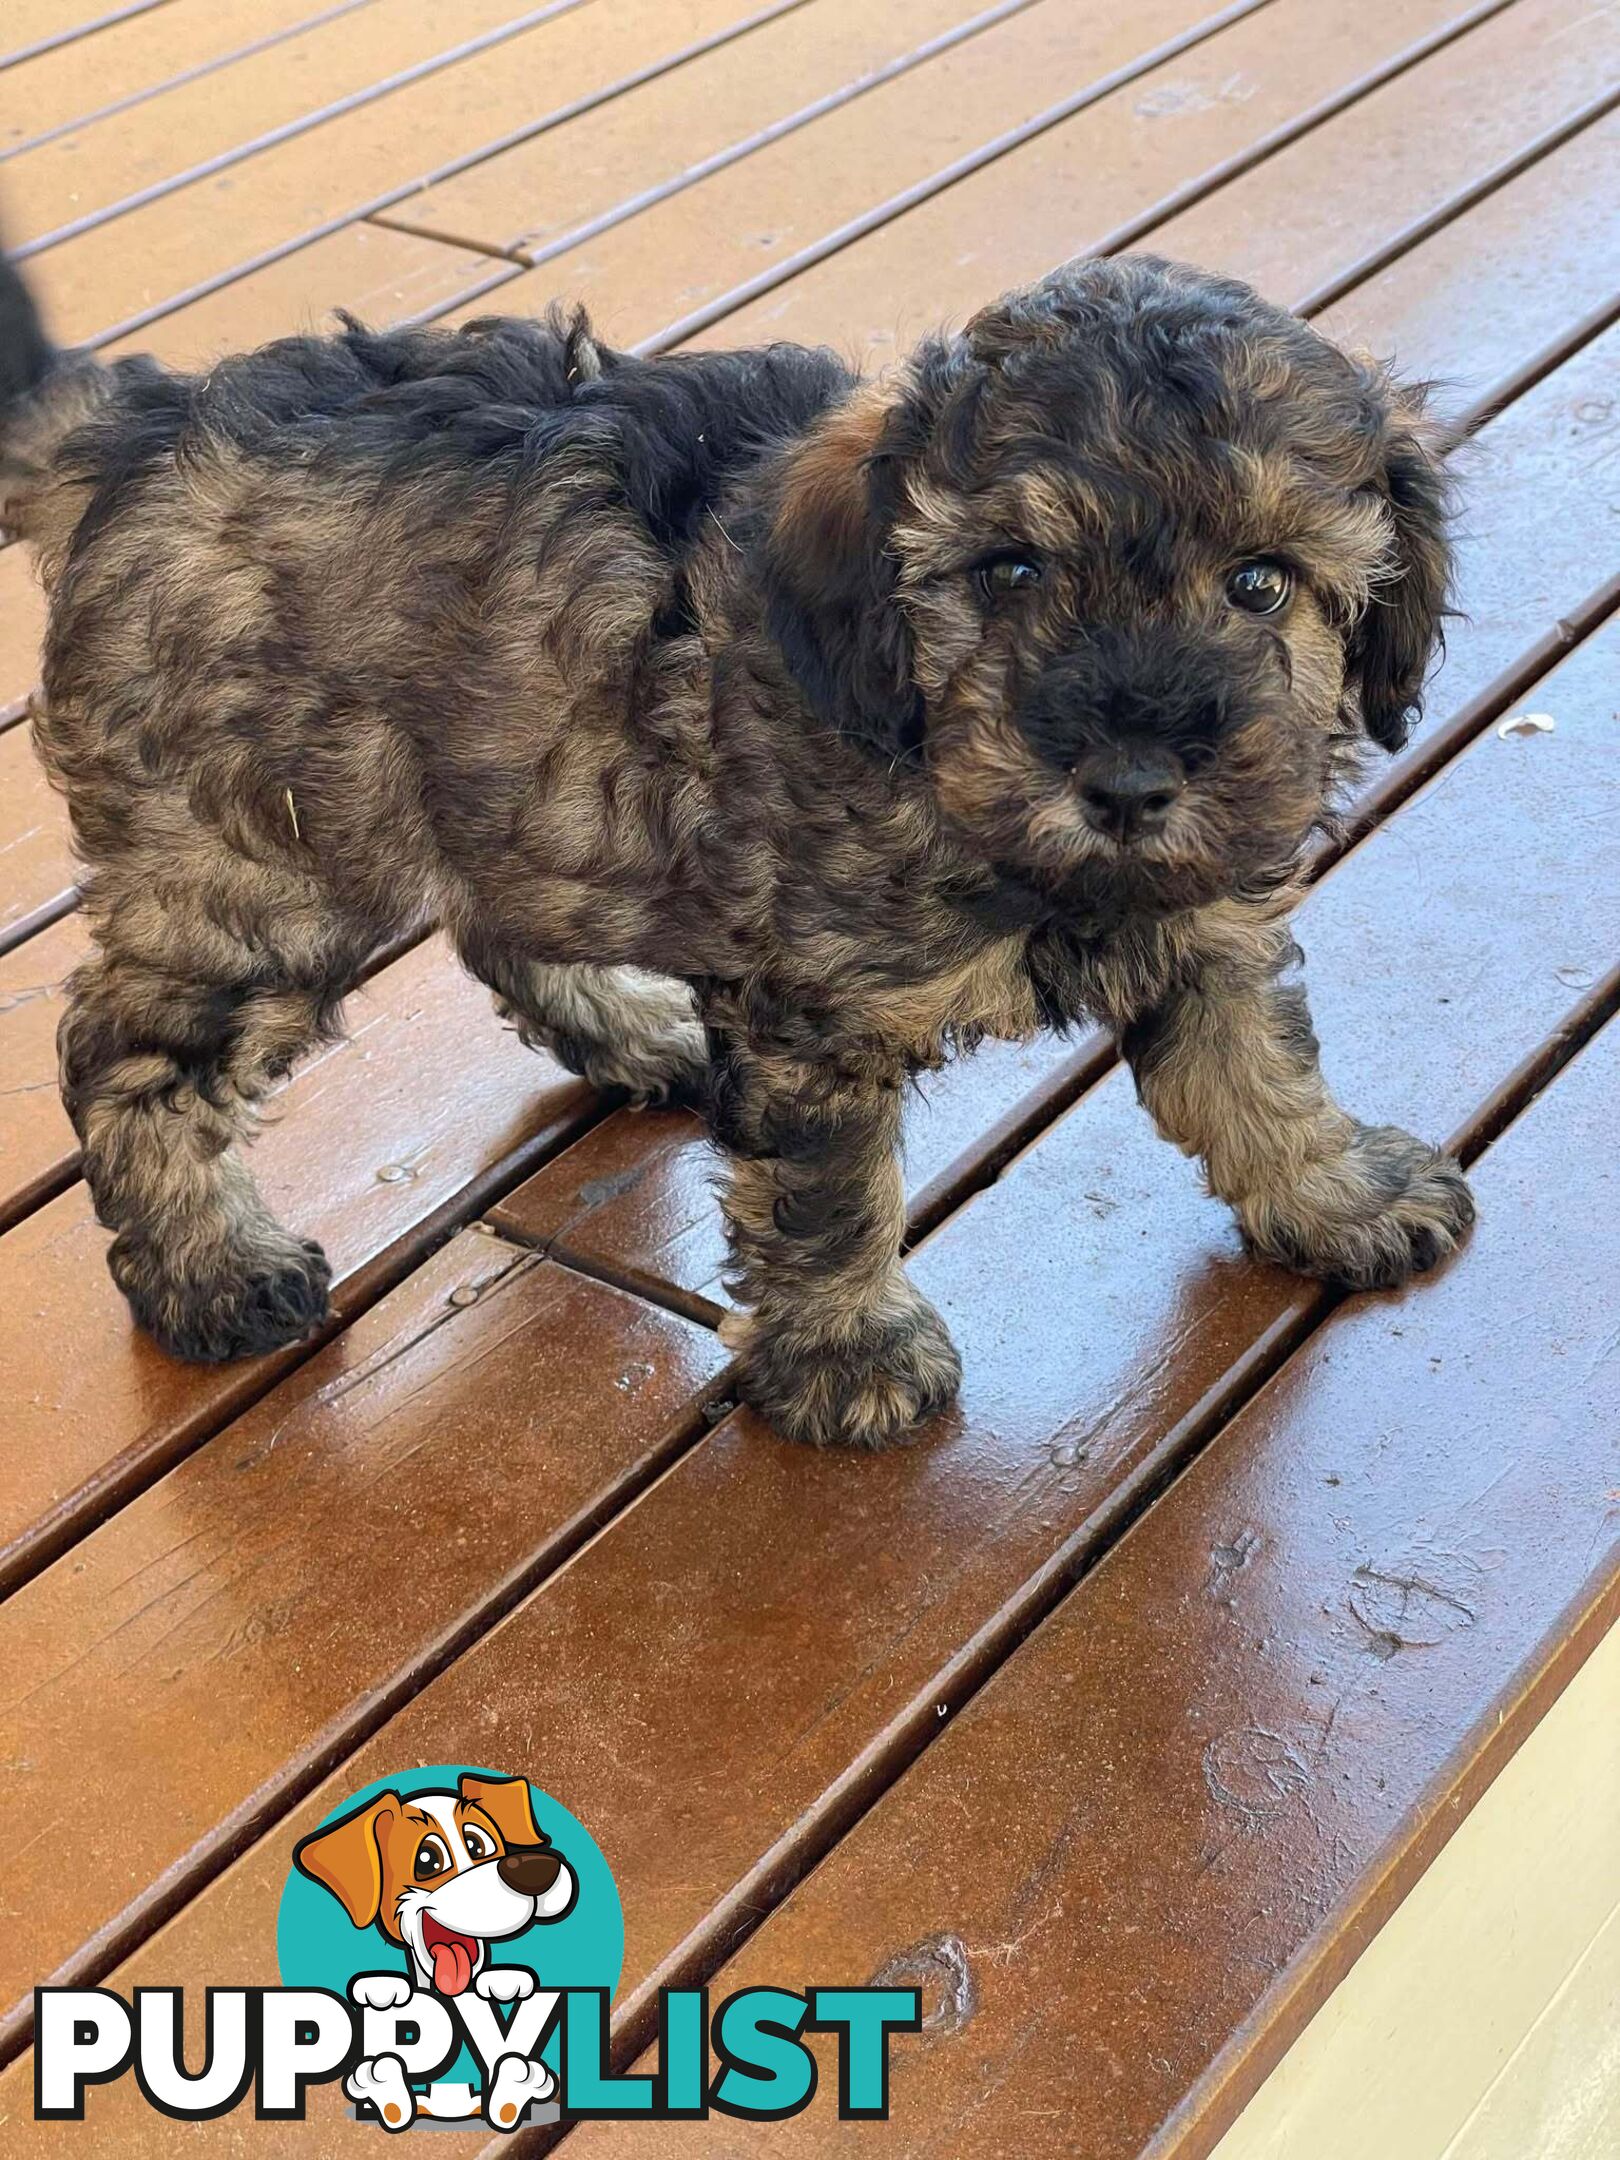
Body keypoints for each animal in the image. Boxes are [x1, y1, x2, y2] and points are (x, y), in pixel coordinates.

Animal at [0, 245, 1468, 1442]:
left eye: (1261, 584)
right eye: (1010, 572)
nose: (1128, 780)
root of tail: (147, 430)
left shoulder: (1203, 920)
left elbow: (1259, 1071)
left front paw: (1338, 1193)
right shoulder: (811, 1013)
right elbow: (828, 1194)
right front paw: (849, 1351)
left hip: (509, 767)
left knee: (499, 915)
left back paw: (631, 1030)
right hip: (263, 865)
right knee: (127, 1056)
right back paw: (208, 1271)